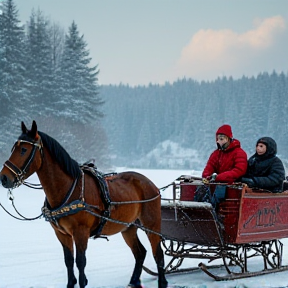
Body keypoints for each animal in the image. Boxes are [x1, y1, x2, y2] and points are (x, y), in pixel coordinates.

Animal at [0, 121, 168, 288]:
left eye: (23, 150)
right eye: (13, 148)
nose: (4, 178)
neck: (67, 189)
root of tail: (151, 184)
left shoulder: (81, 232)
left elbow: (80, 262)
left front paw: (82, 282)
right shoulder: (61, 233)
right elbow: (68, 261)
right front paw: (70, 283)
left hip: (151, 224)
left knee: (157, 253)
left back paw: (162, 281)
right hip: (128, 227)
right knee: (140, 253)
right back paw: (134, 281)